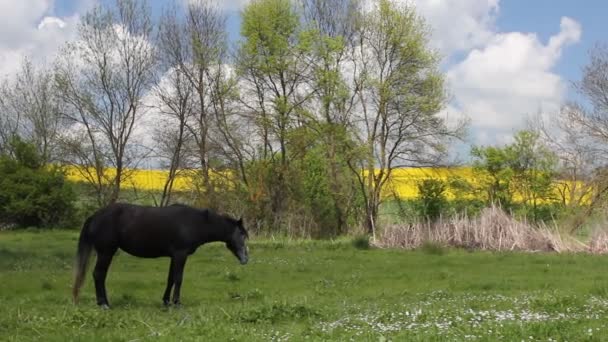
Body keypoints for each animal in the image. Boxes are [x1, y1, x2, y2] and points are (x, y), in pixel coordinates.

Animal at [72, 202, 249, 308]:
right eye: (241, 234)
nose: (246, 259)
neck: (195, 223)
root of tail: (95, 216)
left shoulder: (174, 256)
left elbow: (170, 279)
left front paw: (166, 301)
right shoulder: (180, 254)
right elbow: (178, 278)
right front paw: (177, 303)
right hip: (106, 252)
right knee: (99, 275)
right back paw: (103, 304)